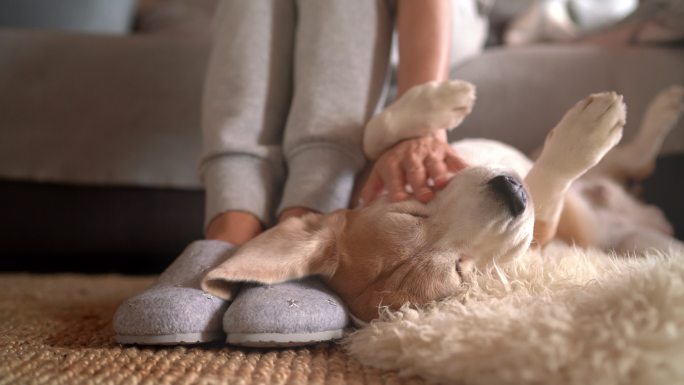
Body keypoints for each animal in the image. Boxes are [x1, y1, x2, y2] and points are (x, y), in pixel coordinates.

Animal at [200, 82, 684, 324]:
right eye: (462, 271)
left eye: (410, 211)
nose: (511, 193)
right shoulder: (538, 234)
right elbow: (546, 190)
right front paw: (580, 140)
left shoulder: (373, 169)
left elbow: (373, 133)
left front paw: (438, 99)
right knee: (633, 165)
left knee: (634, 162)